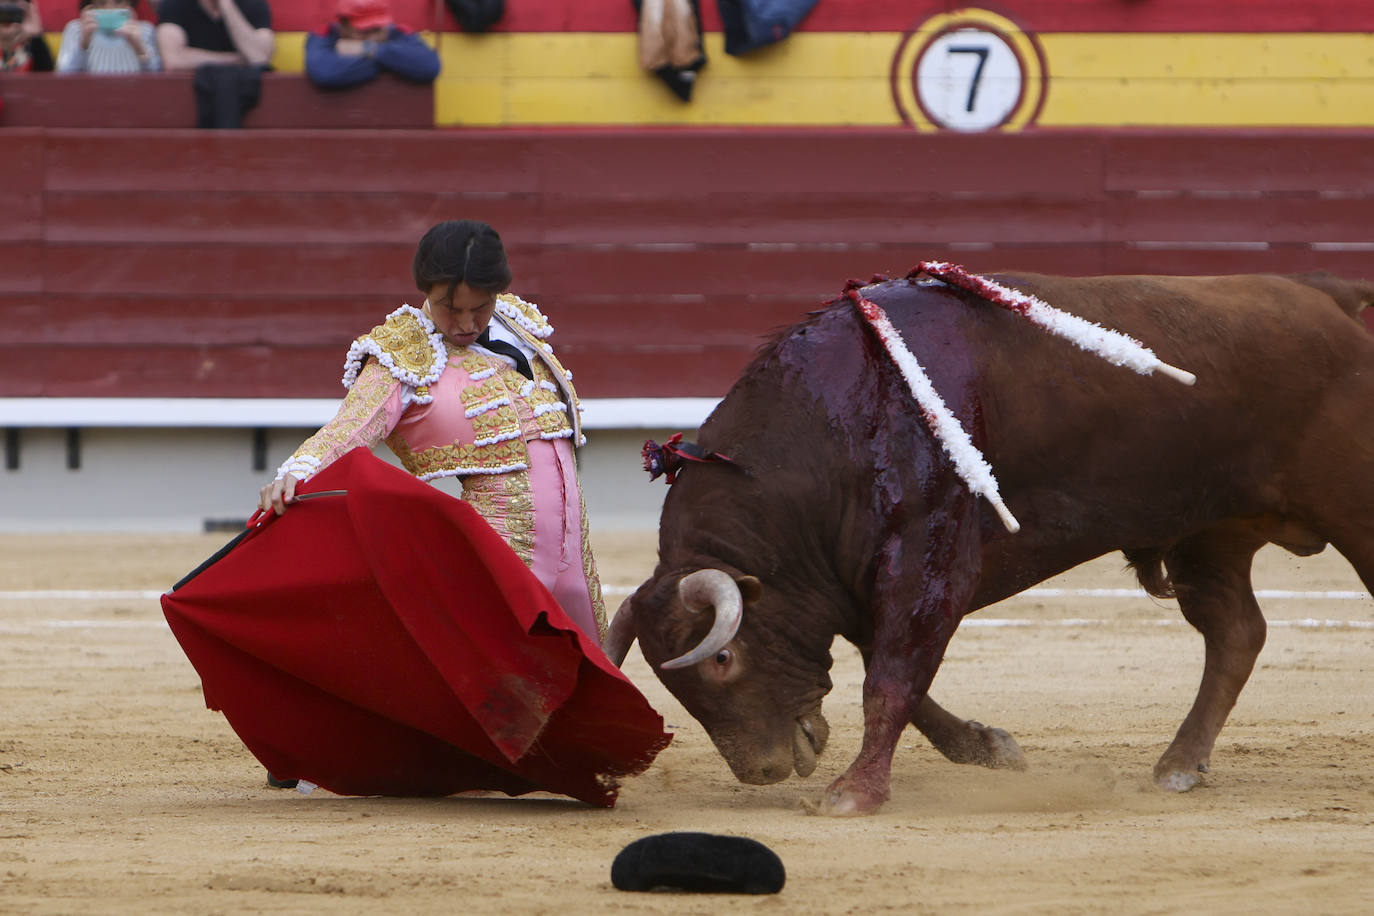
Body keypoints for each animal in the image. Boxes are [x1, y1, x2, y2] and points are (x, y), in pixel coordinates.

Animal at [607, 266, 1374, 818]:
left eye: (723, 659)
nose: (761, 770)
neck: (833, 426)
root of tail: (1330, 297)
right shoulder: (862, 581)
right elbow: (895, 673)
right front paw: (987, 748)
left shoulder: (928, 560)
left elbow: (891, 678)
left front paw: (853, 794)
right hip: (1209, 535)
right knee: (1236, 632)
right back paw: (1180, 765)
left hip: (1350, 509)